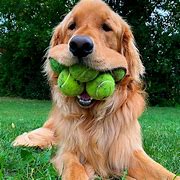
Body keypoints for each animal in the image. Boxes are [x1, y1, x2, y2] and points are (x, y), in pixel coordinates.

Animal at [12, 0, 179, 179]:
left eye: (106, 27)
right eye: (72, 26)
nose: (79, 45)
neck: (93, 118)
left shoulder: (127, 150)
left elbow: (163, 172)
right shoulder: (68, 150)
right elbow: (74, 168)